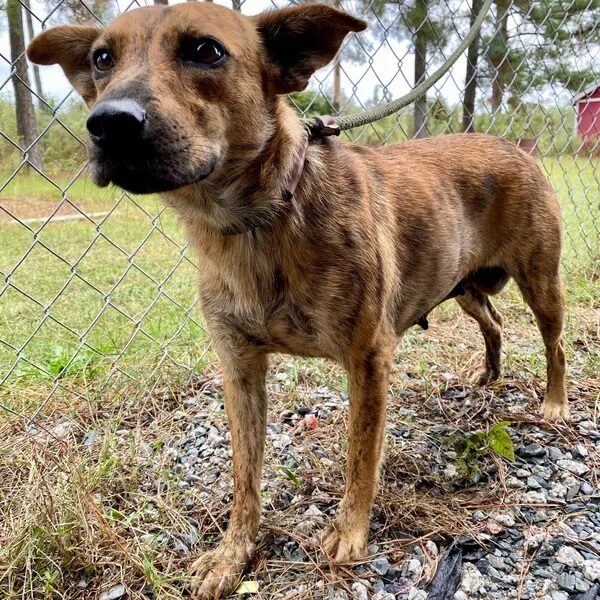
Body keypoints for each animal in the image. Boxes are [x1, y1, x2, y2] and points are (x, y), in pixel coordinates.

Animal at [29, 3, 568, 596]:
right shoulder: (239, 368)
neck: (256, 224)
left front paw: (350, 534)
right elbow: (244, 477)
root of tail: (513, 146)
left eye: (206, 51)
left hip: (541, 282)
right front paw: (233, 555)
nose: (108, 123)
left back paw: (554, 404)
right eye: (103, 59)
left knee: (556, 346)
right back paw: (489, 373)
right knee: (493, 322)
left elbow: (360, 458)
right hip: (463, 285)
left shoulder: (368, 359)